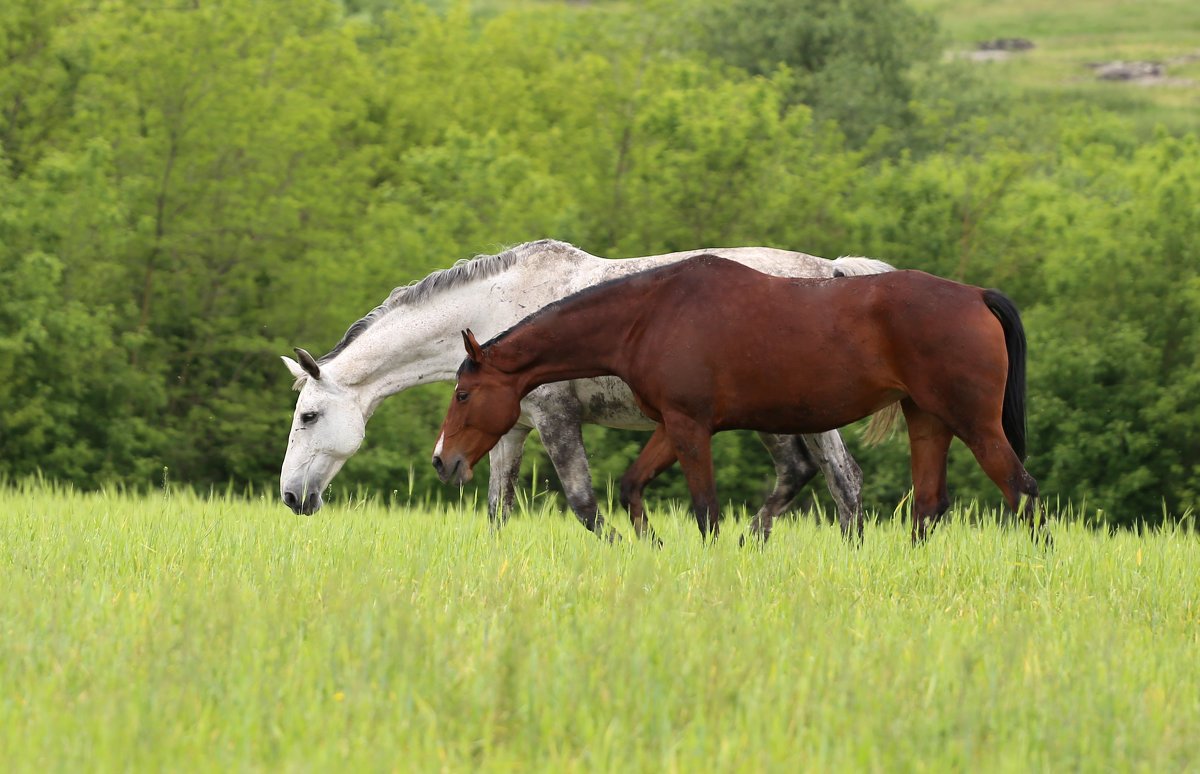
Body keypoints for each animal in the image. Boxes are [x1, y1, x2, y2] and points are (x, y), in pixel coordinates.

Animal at [280, 240, 892, 537]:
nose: (289, 497)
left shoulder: (557, 419)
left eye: (308, 416)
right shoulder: (510, 429)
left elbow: (583, 504)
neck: (495, 308)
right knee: (835, 481)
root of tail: (832, 271)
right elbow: (497, 509)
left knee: (832, 478)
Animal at [432, 256, 1041, 540]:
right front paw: (650, 548)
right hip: (927, 420)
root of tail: (975, 296)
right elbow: (631, 487)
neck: (650, 315)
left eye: (462, 394)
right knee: (929, 506)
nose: (443, 460)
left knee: (1022, 490)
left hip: (974, 423)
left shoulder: (690, 427)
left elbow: (706, 510)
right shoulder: (670, 425)